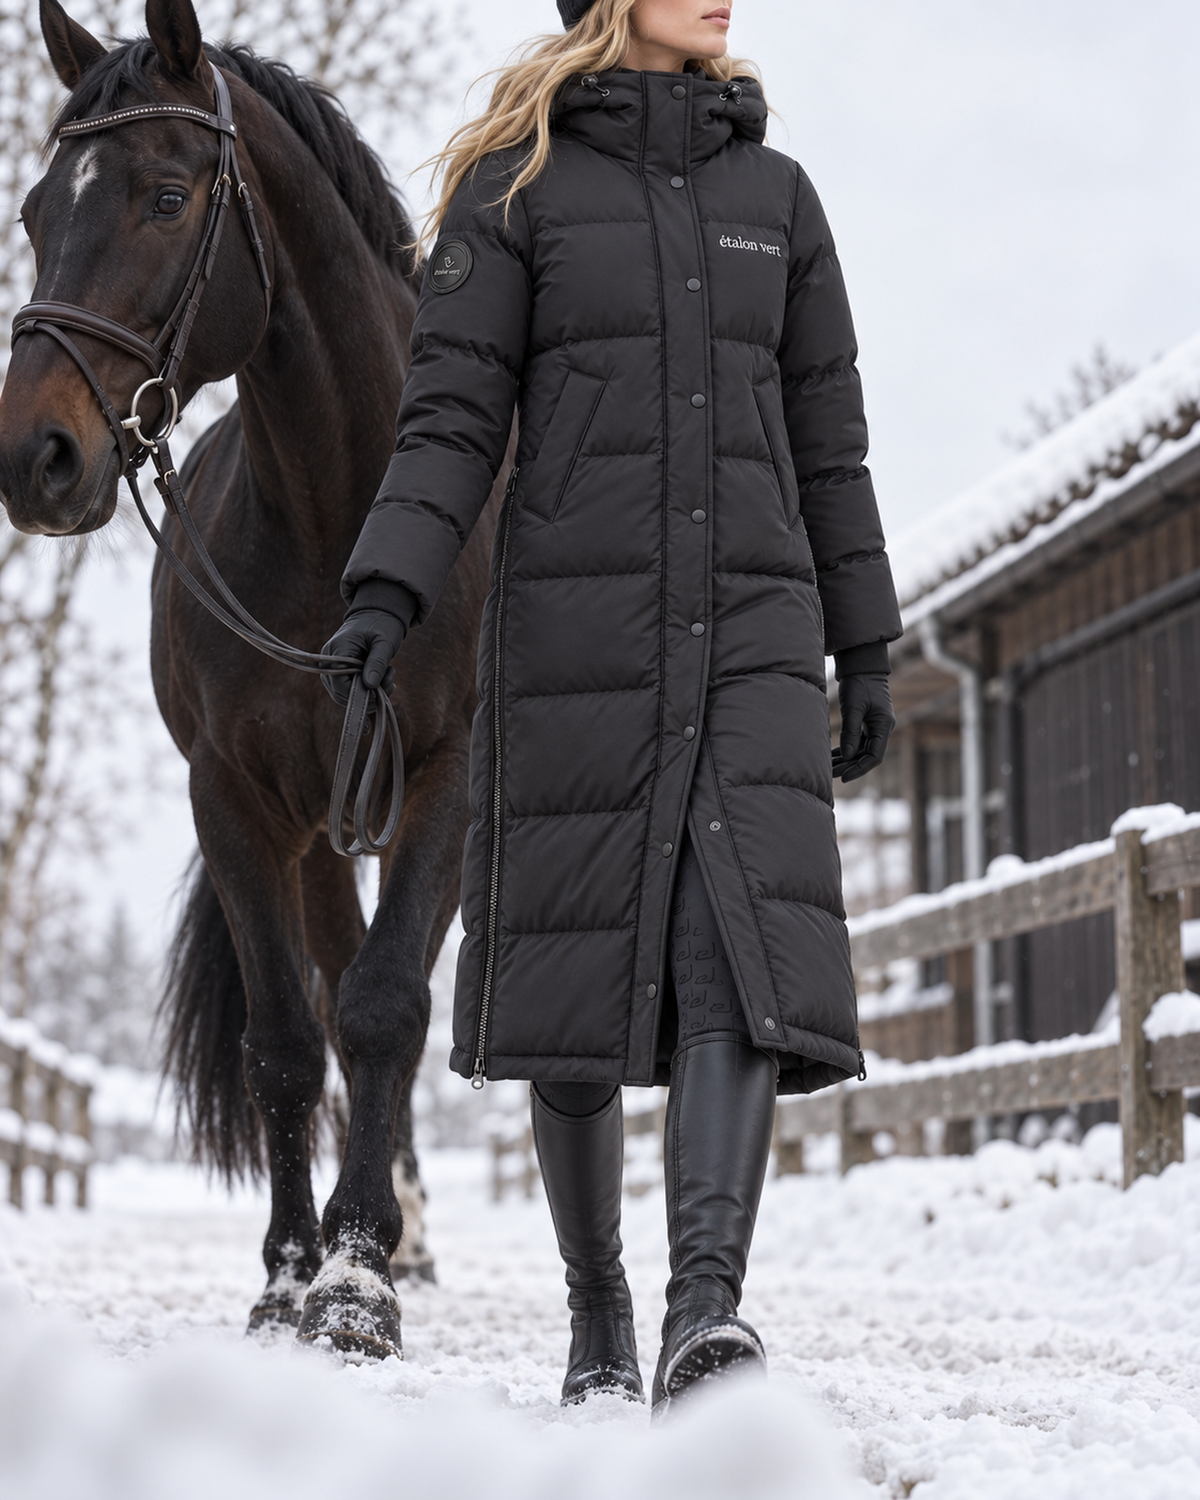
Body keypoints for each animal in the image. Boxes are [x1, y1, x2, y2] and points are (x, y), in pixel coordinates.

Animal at [0, 0, 503, 1358]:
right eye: (36, 212)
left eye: (168, 198)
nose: (34, 457)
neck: (349, 528)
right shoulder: (235, 797)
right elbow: (288, 1035)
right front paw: (292, 1274)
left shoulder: (445, 780)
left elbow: (386, 1007)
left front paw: (359, 1283)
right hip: (323, 837)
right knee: (330, 987)